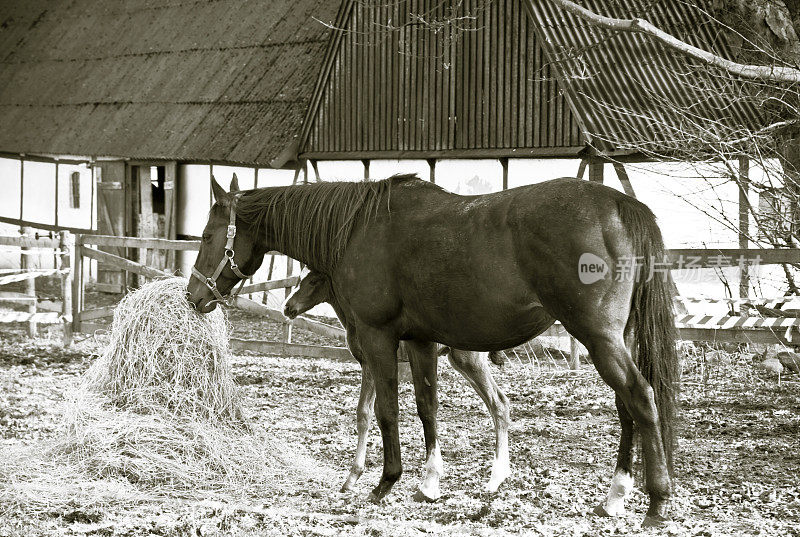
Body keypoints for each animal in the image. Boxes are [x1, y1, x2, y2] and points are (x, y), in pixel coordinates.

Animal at [284, 270, 512, 496]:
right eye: (298, 279)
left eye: (313, 281)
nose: (288, 308)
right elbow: (369, 412)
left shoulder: (370, 365)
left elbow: (364, 413)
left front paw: (353, 477)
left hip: (467, 360)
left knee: (498, 402)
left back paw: (494, 481)